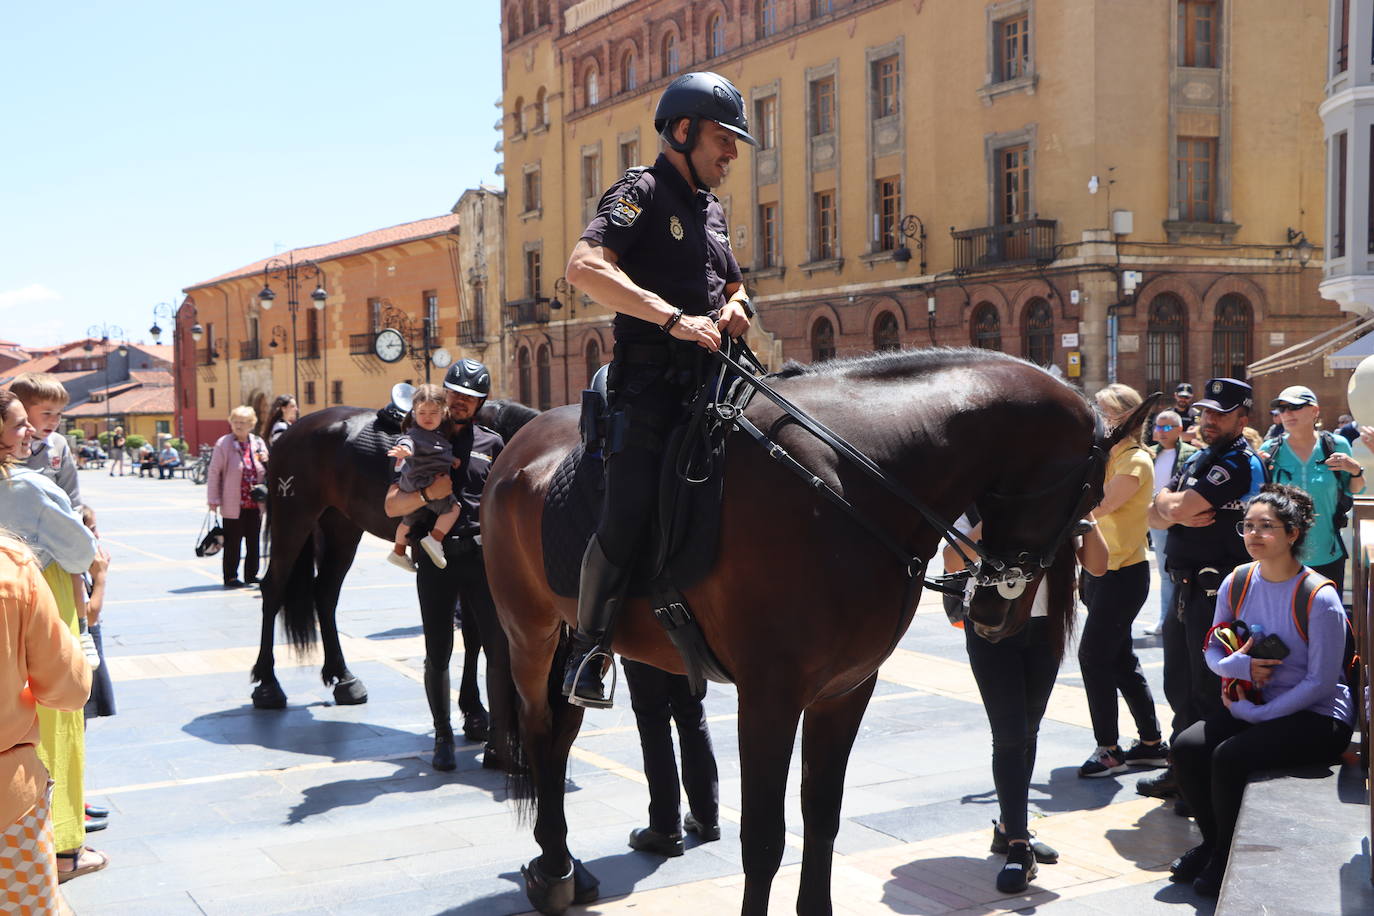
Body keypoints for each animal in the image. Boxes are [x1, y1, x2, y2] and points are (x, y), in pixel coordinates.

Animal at [251, 398, 535, 747]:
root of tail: (290, 432)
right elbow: (475, 636)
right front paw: (476, 711)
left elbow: (474, 636)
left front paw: (474, 711)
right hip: (293, 518)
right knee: (273, 588)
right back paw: (268, 684)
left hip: (341, 527)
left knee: (325, 594)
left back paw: (343, 678)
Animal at [483, 347, 1148, 911]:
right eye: (1089, 491)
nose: (994, 613)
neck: (846, 485)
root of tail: (517, 446)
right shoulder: (769, 697)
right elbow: (763, 838)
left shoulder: (846, 689)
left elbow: (822, 817)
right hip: (528, 634)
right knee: (540, 736)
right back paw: (554, 872)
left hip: (570, 636)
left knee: (560, 736)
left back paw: (565, 865)